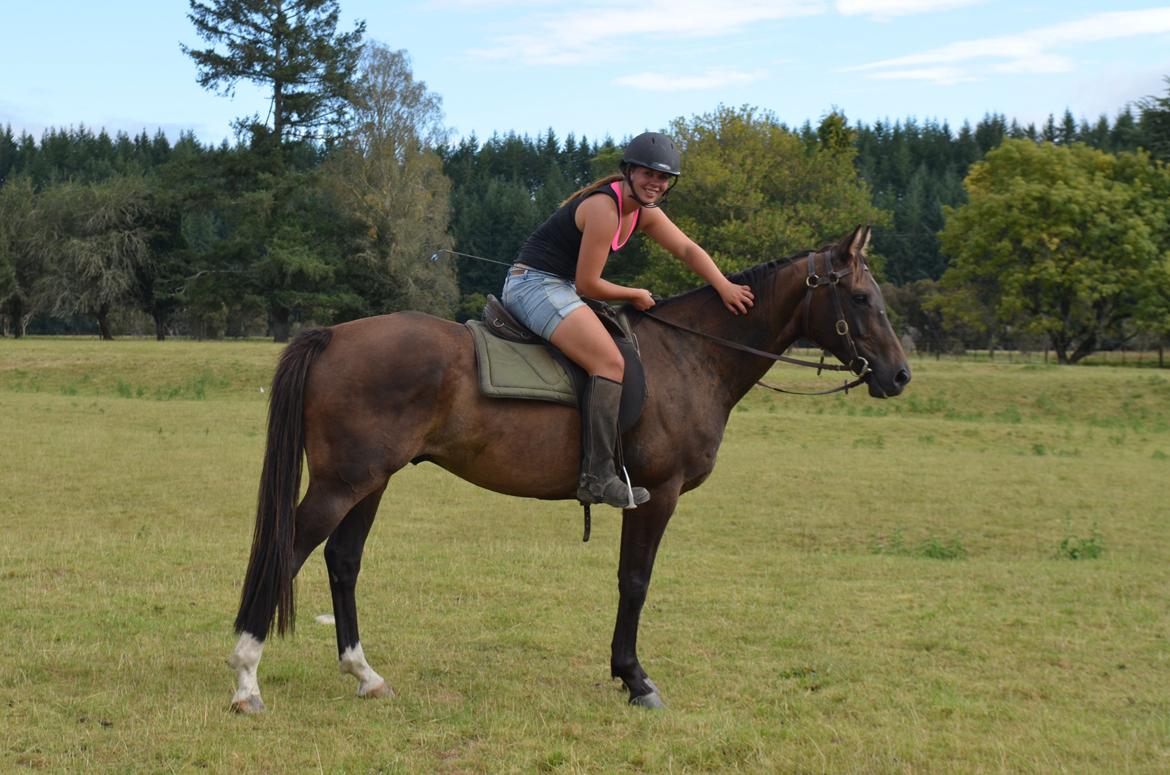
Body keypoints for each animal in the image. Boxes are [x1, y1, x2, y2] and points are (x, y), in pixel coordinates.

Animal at [227, 225, 911, 713]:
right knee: (287, 550)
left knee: (343, 561)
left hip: (370, 481)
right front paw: (635, 678)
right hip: (342, 484)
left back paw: (364, 674)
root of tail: (334, 336)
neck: (690, 355)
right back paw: (246, 679)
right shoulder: (657, 494)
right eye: (860, 297)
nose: (899, 374)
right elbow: (634, 582)